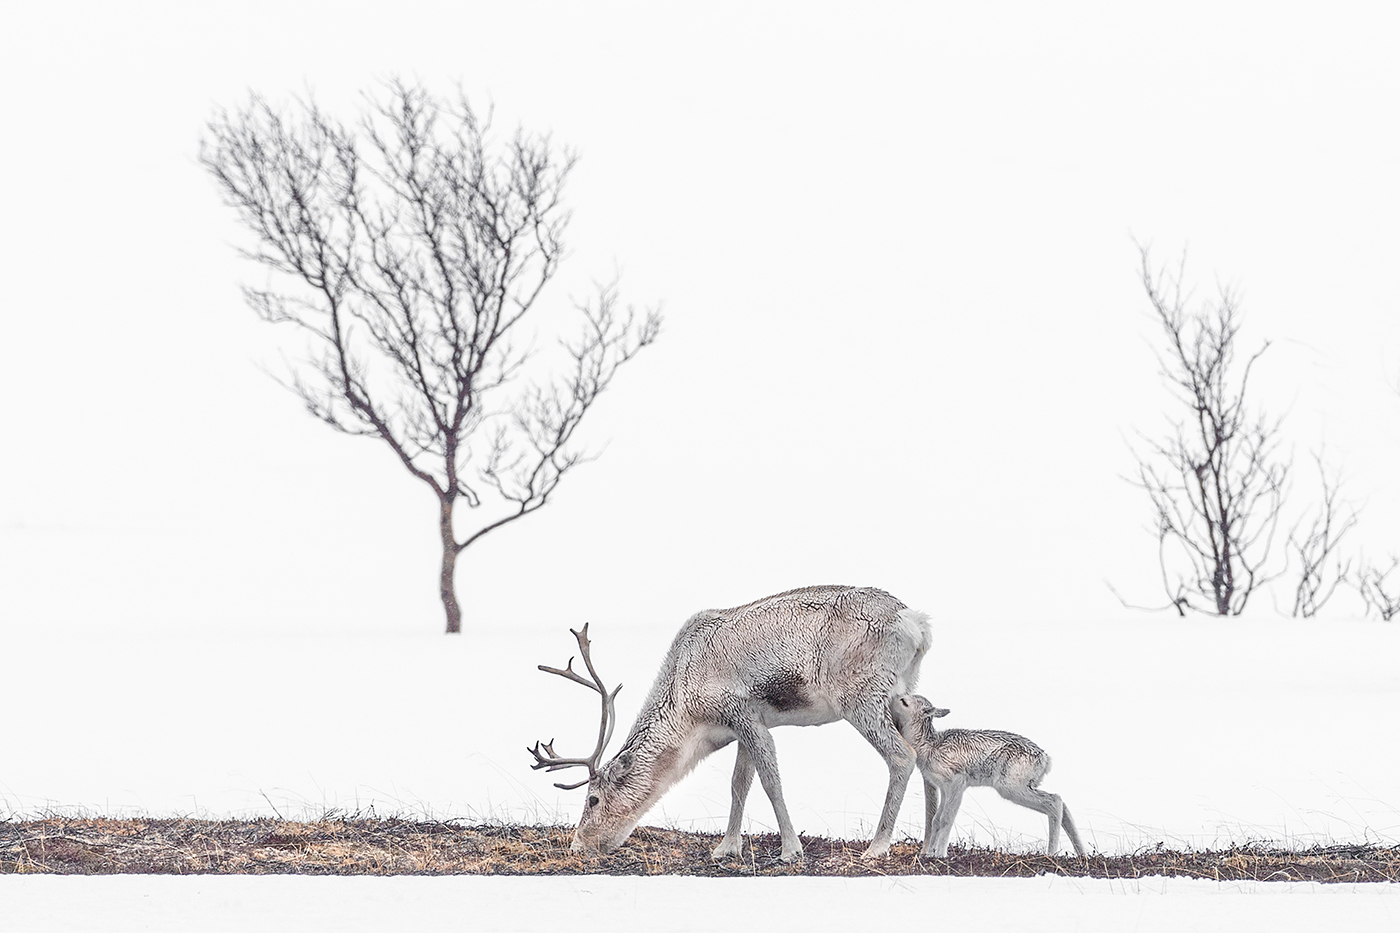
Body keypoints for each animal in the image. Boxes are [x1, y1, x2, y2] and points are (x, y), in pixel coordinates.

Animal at [890, 694, 1086, 851]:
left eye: (904, 702)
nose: (892, 700)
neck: (928, 744)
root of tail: (1045, 759)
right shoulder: (944, 789)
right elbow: (936, 820)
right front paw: (929, 854)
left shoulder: (957, 783)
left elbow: (946, 818)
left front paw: (940, 855)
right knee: (1061, 803)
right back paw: (1081, 854)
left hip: (1011, 787)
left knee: (1055, 801)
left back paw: (1051, 853)